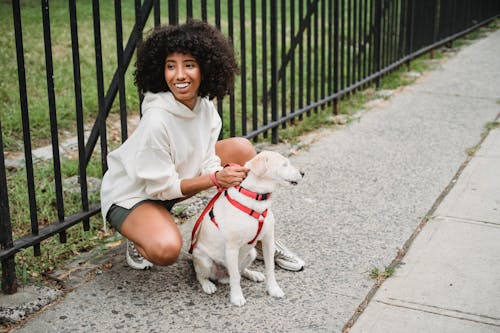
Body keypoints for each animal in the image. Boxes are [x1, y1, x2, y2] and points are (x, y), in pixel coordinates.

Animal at [189, 150, 302, 306]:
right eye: (284, 164)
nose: (303, 173)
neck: (257, 197)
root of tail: (222, 275)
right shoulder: (231, 248)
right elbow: (235, 277)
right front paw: (237, 297)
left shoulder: (268, 240)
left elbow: (270, 268)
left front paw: (273, 289)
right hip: (203, 260)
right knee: (202, 275)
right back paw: (208, 285)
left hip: (251, 253)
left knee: (240, 271)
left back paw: (253, 274)